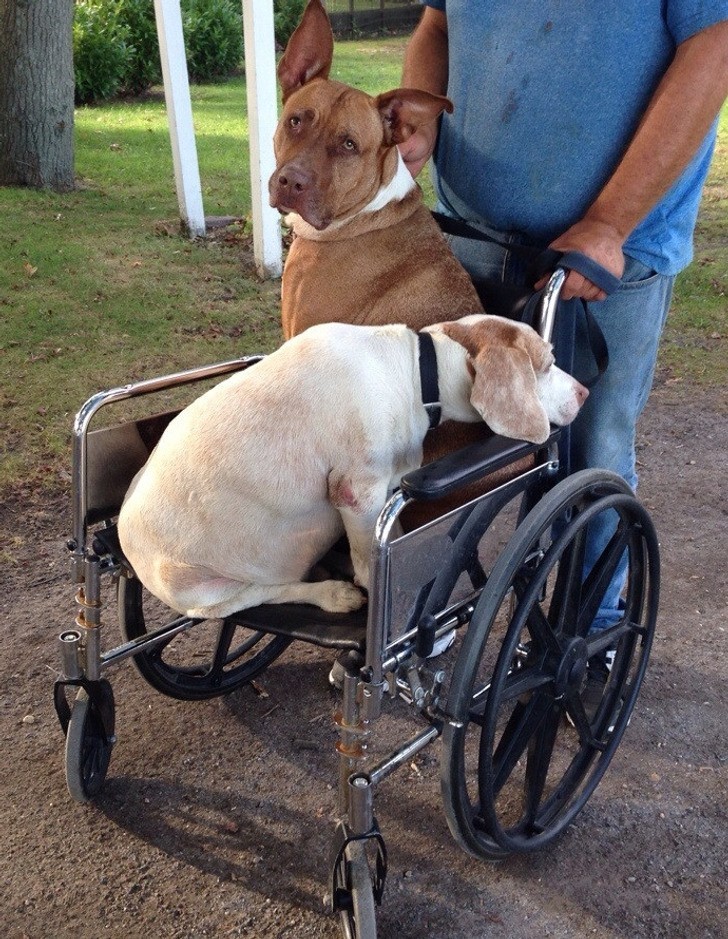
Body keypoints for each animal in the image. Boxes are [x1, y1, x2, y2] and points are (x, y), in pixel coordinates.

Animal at [118, 316, 584, 620]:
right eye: (546, 364)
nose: (584, 391)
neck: (412, 374)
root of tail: (123, 547)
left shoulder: (388, 487)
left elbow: (393, 535)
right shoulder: (356, 492)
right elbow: (367, 560)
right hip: (202, 593)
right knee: (264, 593)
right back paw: (334, 595)